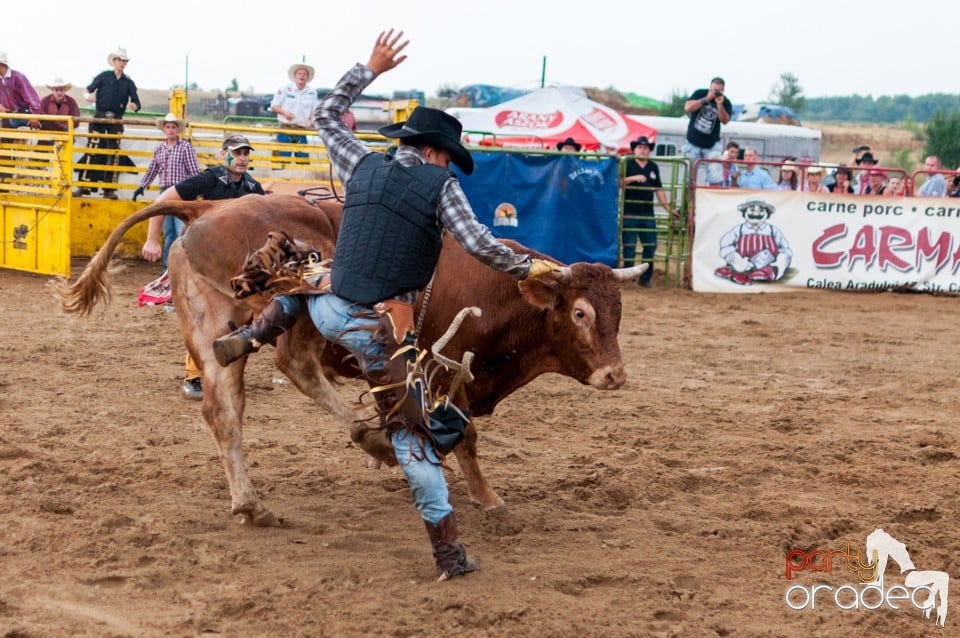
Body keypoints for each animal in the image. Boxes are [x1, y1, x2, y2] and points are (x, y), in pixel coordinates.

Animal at [62, 192, 644, 528]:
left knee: (224, 410)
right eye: (581, 313)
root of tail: (202, 208)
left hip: (214, 329)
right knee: (295, 362)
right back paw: (370, 439)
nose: (615, 375)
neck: (502, 293)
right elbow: (465, 436)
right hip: (302, 296)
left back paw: (251, 502)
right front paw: (487, 496)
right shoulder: (440, 368)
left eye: (618, 312)